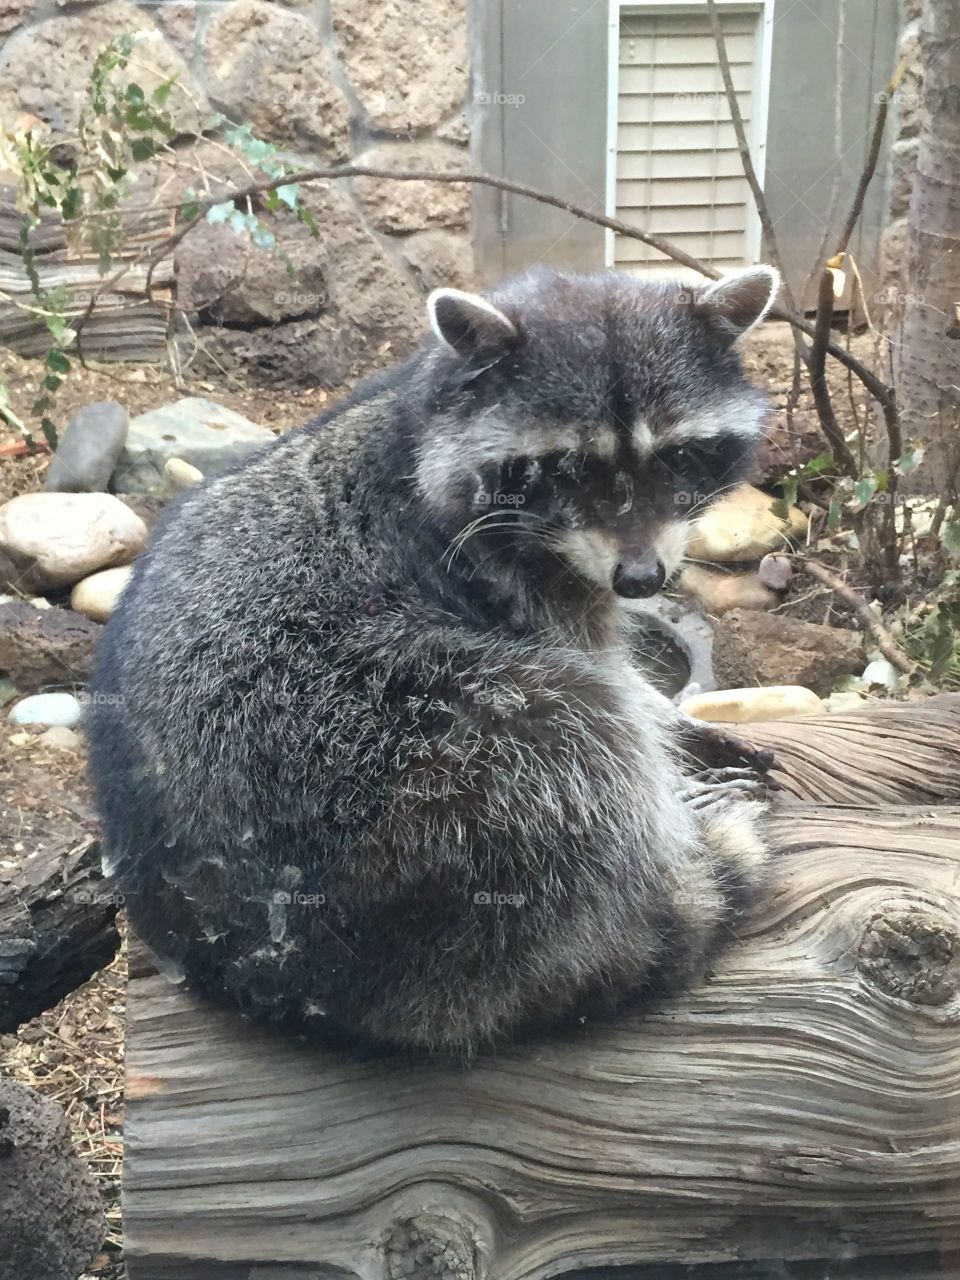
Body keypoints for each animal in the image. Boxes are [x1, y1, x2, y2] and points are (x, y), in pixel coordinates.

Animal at [88, 264, 783, 1054]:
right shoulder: (506, 579)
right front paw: (663, 744)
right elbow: (602, 675)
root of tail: (267, 978)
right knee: (571, 723)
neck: (420, 424)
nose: (641, 580)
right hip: (376, 744)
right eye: (569, 467)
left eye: (676, 455)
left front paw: (679, 724)